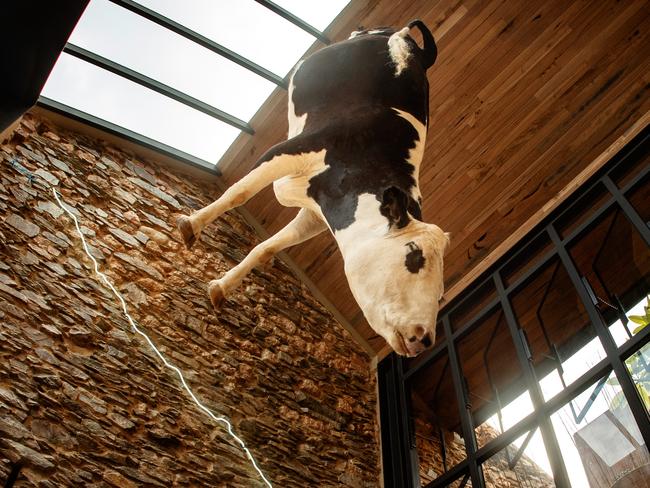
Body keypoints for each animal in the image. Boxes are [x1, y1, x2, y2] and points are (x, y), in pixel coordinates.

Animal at [178, 21, 450, 356]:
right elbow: (239, 192)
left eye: (440, 292)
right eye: (414, 257)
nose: (424, 337)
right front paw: (190, 225)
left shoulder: (317, 214)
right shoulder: (292, 150)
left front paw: (220, 287)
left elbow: (267, 247)